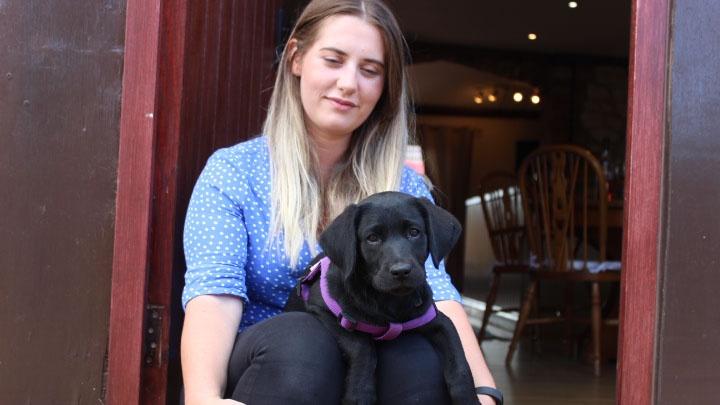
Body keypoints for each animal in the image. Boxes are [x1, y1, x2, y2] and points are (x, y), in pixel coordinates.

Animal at [286, 192, 478, 404]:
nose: (401, 271)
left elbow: (460, 362)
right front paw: (359, 393)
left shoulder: (437, 319)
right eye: (372, 238)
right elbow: (363, 347)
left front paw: (469, 398)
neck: (390, 302)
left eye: (414, 232)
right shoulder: (324, 312)